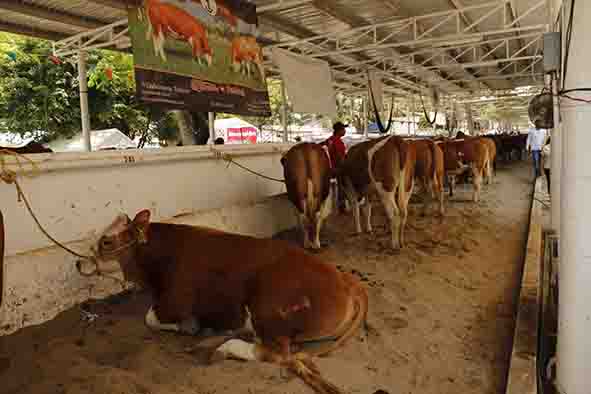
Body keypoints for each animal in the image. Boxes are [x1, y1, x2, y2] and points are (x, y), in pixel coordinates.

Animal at [76, 209, 368, 394]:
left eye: (106, 241)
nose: (79, 263)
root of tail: (345, 279)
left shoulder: (174, 301)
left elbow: (150, 318)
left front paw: (190, 327)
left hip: (268, 309)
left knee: (273, 353)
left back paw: (223, 345)